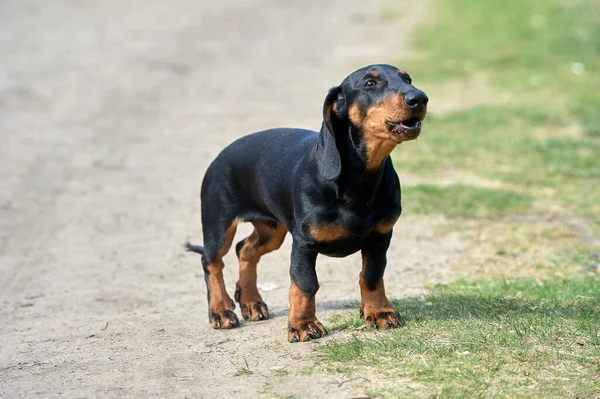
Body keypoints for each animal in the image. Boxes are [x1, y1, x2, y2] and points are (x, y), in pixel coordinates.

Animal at [186, 64, 426, 342]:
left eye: (408, 79)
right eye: (369, 83)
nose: (420, 98)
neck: (359, 179)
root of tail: (221, 154)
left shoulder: (380, 236)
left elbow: (372, 276)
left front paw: (379, 312)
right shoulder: (304, 244)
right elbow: (305, 283)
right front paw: (303, 324)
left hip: (271, 231)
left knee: (244, 249)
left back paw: (251, 302)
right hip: (219, 224)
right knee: (212, 262)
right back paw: (221, 310)